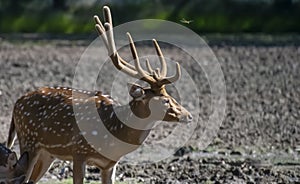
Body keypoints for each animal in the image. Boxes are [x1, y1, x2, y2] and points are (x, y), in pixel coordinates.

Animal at [7, 5, 193, 184]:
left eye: (171, 96)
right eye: (165, 100)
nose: (189, 116)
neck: (115, 136)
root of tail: (17, 102)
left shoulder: (110, 164)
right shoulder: (79, 151)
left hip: (47, 153)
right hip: (28, 142)